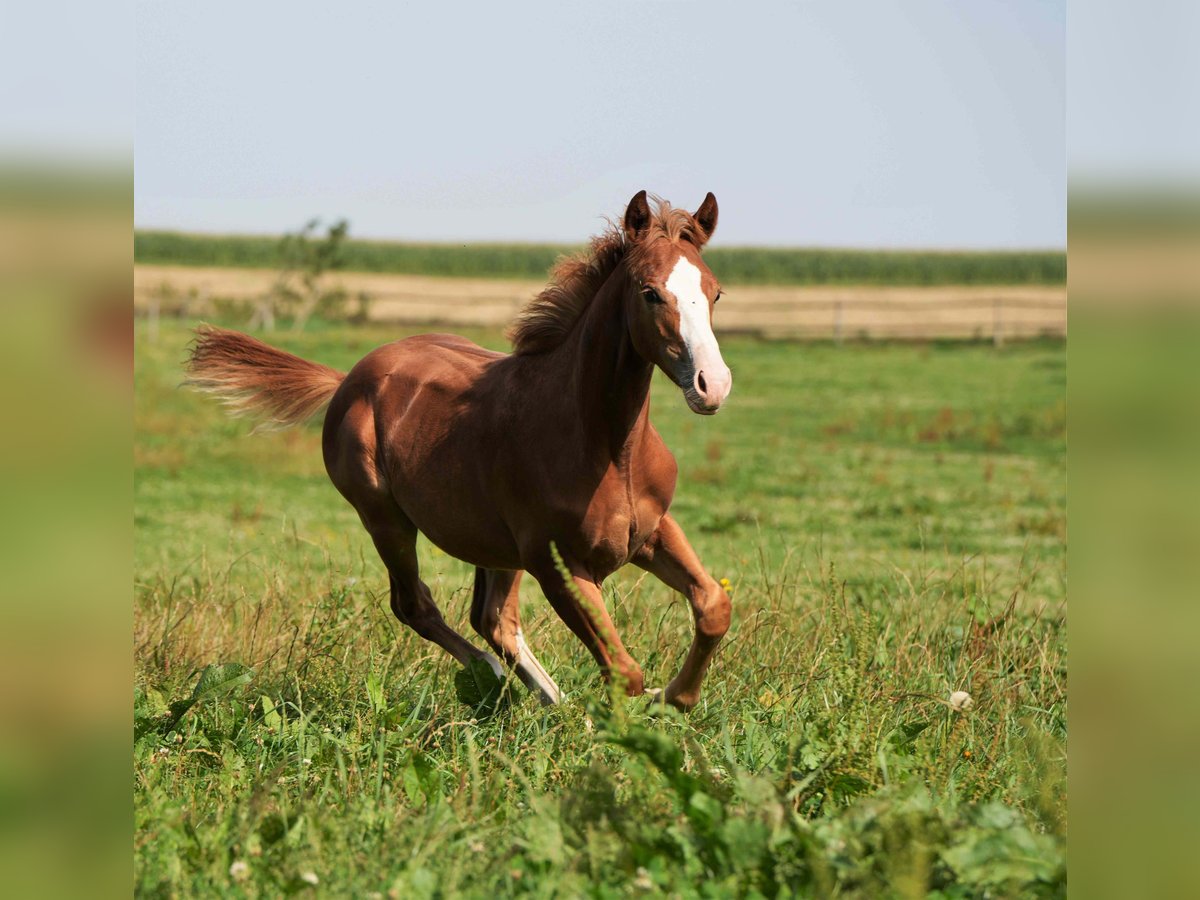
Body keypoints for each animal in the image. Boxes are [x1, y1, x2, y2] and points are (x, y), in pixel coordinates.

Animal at [186, 190, 729, 710]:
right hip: (386, 519)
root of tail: (348, 380)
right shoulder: (556, 564)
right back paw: (498, 681)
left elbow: (713, 607)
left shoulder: (652, 531)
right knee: (418, 605)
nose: (713, 385)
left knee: (492, 618)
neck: (607, 447)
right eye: (650, 293)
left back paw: (548, 700)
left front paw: (674, 697)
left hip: (495, 545)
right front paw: (637, 712)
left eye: (714, 290)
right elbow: (623, 669)